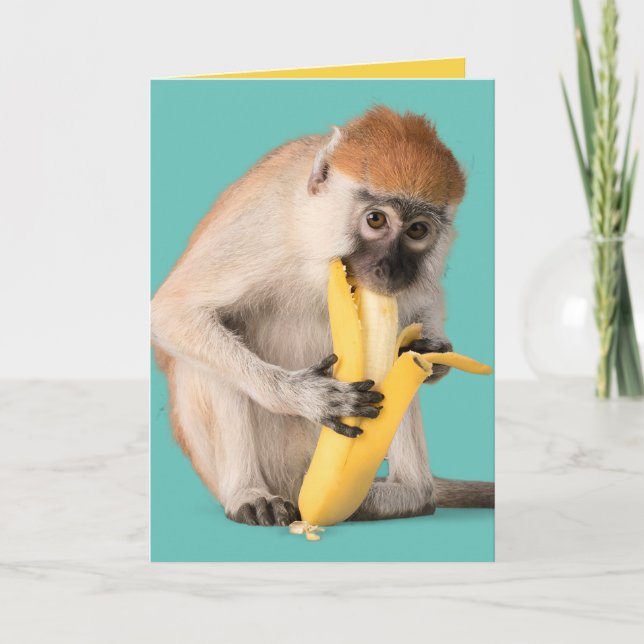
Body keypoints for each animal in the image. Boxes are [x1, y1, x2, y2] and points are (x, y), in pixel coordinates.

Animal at [151, 106, 494, 527]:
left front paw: (435, 351)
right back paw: (248, 493)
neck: (313, 234)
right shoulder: (262, 228)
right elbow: (174, 312)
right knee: (209, 355)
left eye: (417, 230)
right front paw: (305, 395)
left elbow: (423, 308)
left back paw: (410, 495)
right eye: (376, 220)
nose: (390, 269)